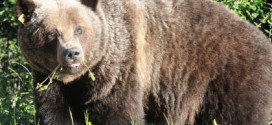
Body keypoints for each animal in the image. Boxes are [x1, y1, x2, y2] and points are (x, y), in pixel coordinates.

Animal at [15, 0, 272, 124]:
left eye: (79, 29)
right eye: (52, 33)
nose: (72, 53)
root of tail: (263, 40)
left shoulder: (122, 65)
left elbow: (118, 112)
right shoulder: (48, 78)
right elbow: (55, 112)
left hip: (227, 74)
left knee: (238, 115)